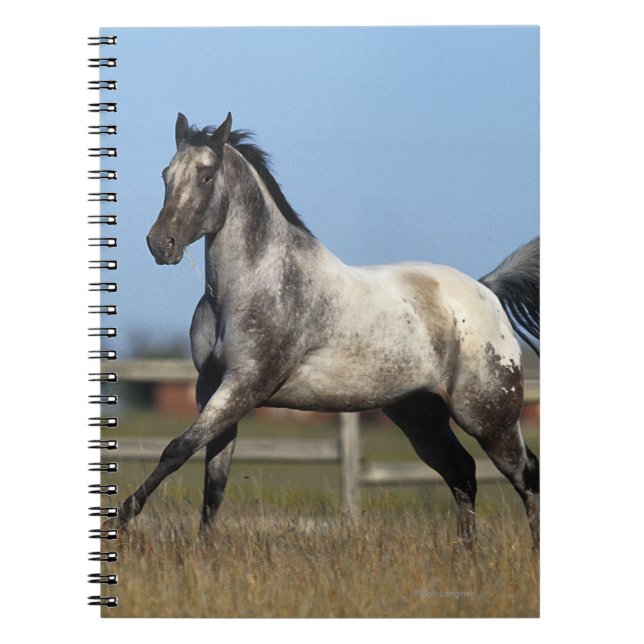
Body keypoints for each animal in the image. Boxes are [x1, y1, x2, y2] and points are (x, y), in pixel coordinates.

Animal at [110, 112, 540, 546]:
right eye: (166, 174)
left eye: (206, 175)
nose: (160, 244)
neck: (250, 286)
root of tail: (486, 290)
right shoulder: (211, 387)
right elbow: (214, 482)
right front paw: (204, 550)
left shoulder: (245, 384)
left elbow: (177, 449)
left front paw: (120, 521)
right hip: (420, 418)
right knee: (462, 474)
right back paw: (464, 555)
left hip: (489, 418)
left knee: (526, 476)